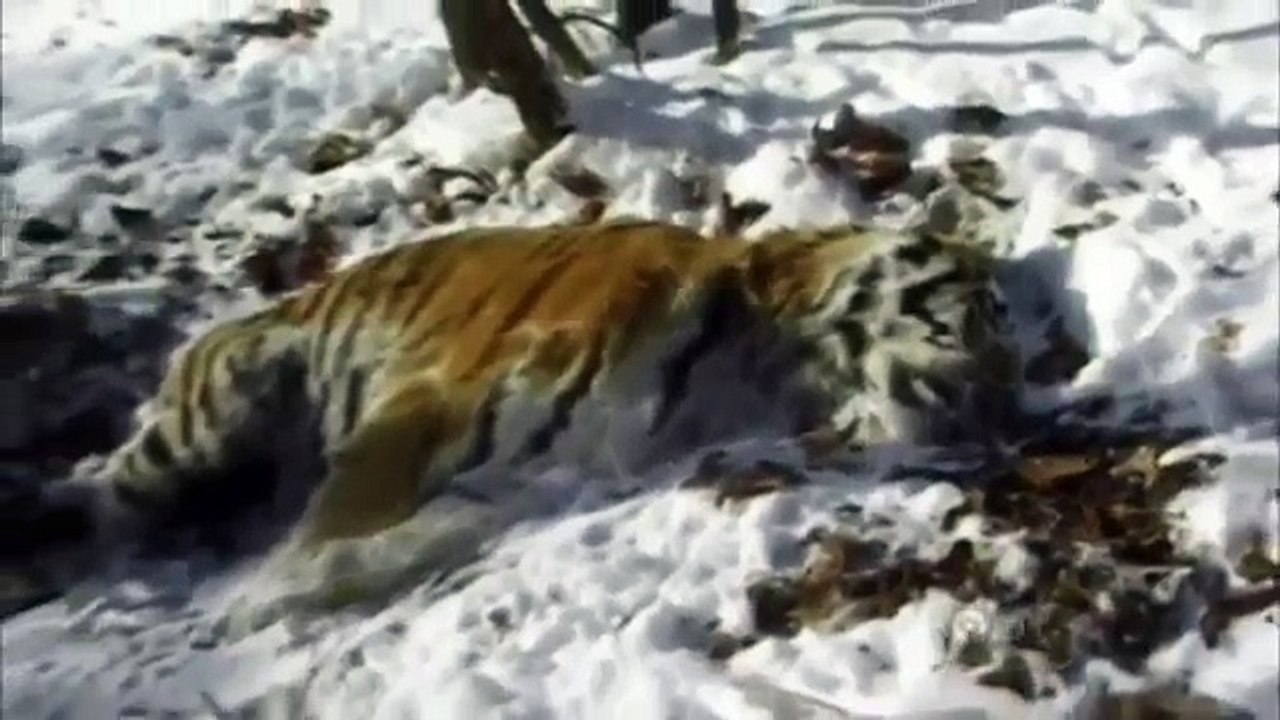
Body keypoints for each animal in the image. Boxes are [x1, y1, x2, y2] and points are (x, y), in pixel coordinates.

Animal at [11, 219, 1021, 623]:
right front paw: (256, 603)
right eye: (984, 317)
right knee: (98, 503)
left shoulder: (541, 473)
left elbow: (419, 537)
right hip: (216, 410)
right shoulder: (428, 401)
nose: (999, 418)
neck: (758, 369)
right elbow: (344, 514)